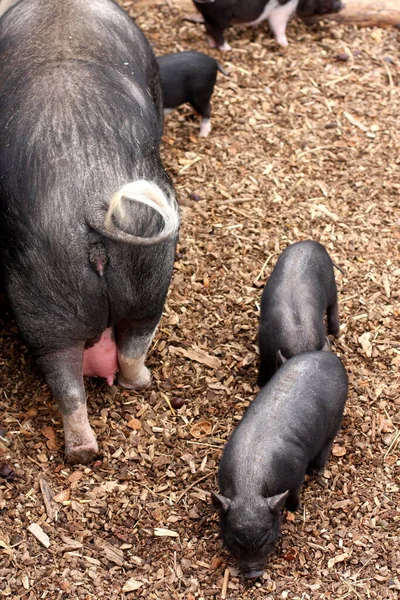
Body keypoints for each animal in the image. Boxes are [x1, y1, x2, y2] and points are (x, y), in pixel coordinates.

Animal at [0, 0, 180, 464]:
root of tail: (89, 207)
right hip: (145, 274)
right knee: (129, 344)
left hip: (58, 291)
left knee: (71, 374)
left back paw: (84, 448)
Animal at [192, 0, 342, 50]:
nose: (342, 5)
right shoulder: (280, 12)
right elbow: (279, 27)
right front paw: (285, 44)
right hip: (221, 17)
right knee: (214, 30)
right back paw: (227, 48)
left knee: (207, 28)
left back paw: (212, 44)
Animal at [212, 350, 346, 580]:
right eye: (235, 541)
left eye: (265, 538)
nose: (253, 573)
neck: (249, 487)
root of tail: (330, 357)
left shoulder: (296, 473)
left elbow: (295, 492)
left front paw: (294, 508)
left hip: (335, 420)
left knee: (327, 445)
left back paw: (318, 472)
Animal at [256, 241, 340, 386]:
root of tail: (310, 243)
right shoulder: (263, 338)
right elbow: (264, 363)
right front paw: (260, 383)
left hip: (330, 283)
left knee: (333, 304)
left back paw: (336, 333)